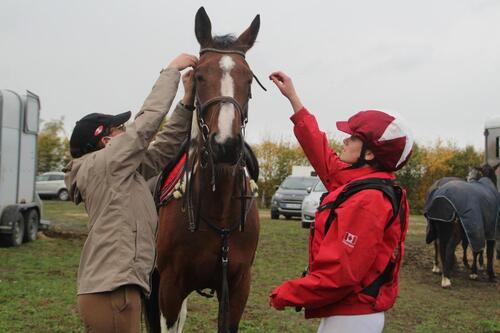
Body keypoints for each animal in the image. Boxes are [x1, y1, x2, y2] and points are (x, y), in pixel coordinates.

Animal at [145, 5, 262, 332]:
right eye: (198, 76)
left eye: (249, 80)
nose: (226, 145)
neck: (218, 209)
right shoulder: (170, 287)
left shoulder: (237, 287)